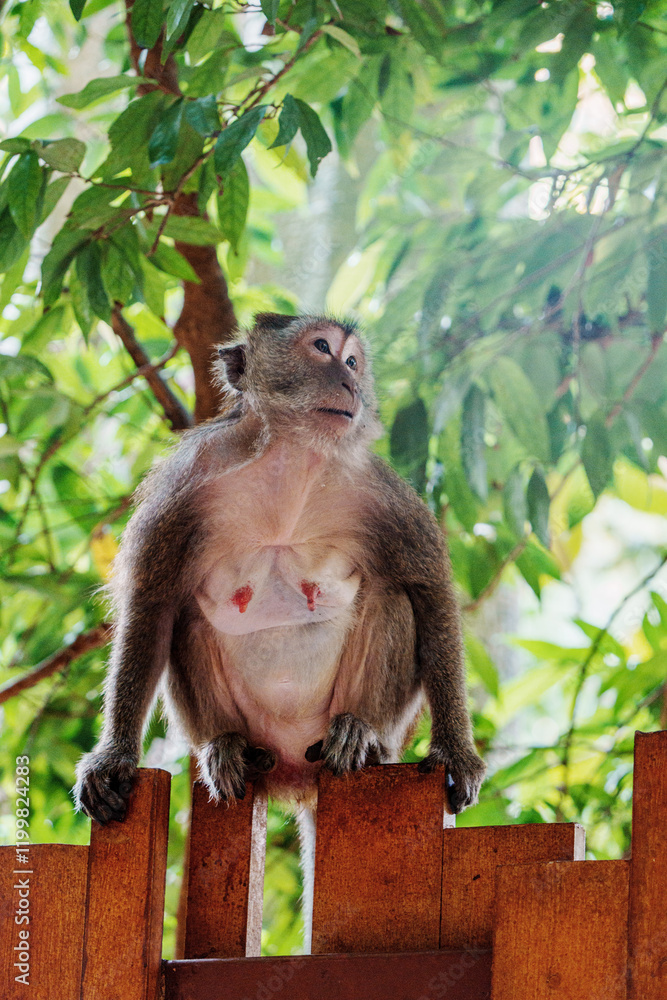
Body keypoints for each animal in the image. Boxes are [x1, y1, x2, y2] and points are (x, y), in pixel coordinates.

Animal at [74, 312, 485, 944]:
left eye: (353, 360)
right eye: (321, 348)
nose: (350, 381)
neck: (292, 460)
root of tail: (297, 774)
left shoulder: (378, 489)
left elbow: (428, 588)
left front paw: (456, 754)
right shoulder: (187, 482)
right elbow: (152, 601)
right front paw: (113, 757)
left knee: (392, 598)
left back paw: (360, 735)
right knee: (187, 619)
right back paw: (226, 747)